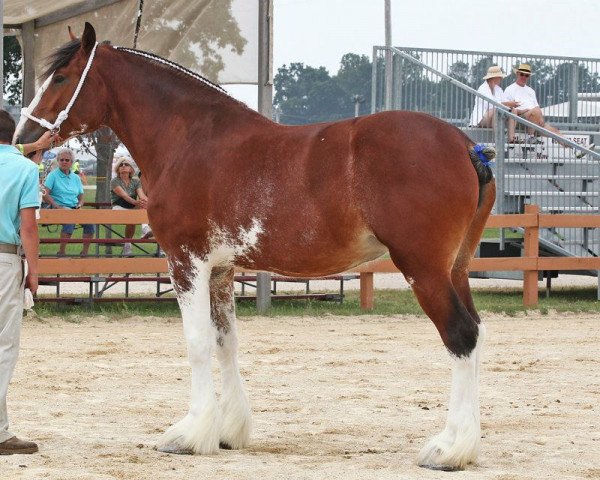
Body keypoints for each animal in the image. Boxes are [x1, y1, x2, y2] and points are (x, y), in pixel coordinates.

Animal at [17, 23, 496, 472]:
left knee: (460, 335)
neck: (190, 140)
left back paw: (448, 449)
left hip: (424, 268)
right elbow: (226, 342)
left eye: (61, 77)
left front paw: (190, 434)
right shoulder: (221, 269)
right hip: (455, 268)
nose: (24, 137)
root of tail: (466, 145)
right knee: (475, 332)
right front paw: (228, 431)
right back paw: (467, 446)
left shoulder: (186, 261)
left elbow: (197, 343)